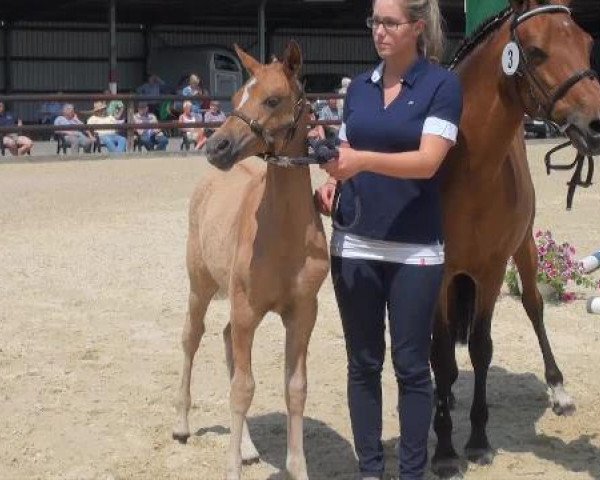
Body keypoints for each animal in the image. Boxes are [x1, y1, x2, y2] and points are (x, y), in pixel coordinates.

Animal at [170, 42, 328, 480]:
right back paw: (182, 425)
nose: (215, 147)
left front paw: (297, 468)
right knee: (192, 337)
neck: (283, 233)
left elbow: (295, 388)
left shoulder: (302, 313)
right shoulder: (245, 309)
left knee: (224, 340)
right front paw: (231, 470)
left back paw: (249, 448)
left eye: (272, 99)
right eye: (237, 96)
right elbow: (242, 390)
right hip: (201, 286)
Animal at [434, 1, 600, 478]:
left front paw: (476, 440)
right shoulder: (438, 273)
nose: (596, 124)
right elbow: (440, 353)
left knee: (534, 304)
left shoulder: (490, 271)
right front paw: (444, 449)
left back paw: (558, 390)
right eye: (538, 51)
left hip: (525, 246)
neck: (467, 169)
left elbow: (480, 347)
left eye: (588, 44)